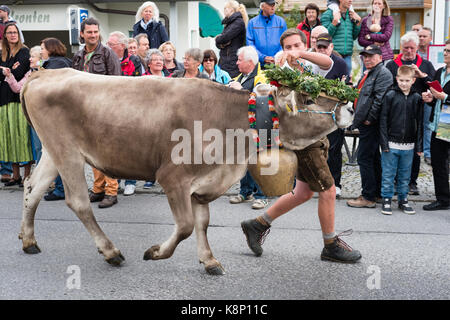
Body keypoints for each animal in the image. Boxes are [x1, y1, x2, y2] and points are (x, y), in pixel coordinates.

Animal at [19, 69, 354, 276]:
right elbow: (185, 226)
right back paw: (111, 251)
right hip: (67, 152)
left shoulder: (203, 185)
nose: (349, 107)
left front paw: (209, 261)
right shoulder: (173, 178)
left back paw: (28, 240)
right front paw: (155, 252)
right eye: (308, 98)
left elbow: (202, 224)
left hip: (52, 151)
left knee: (32, 188)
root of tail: (45, 73)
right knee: (77, 202)